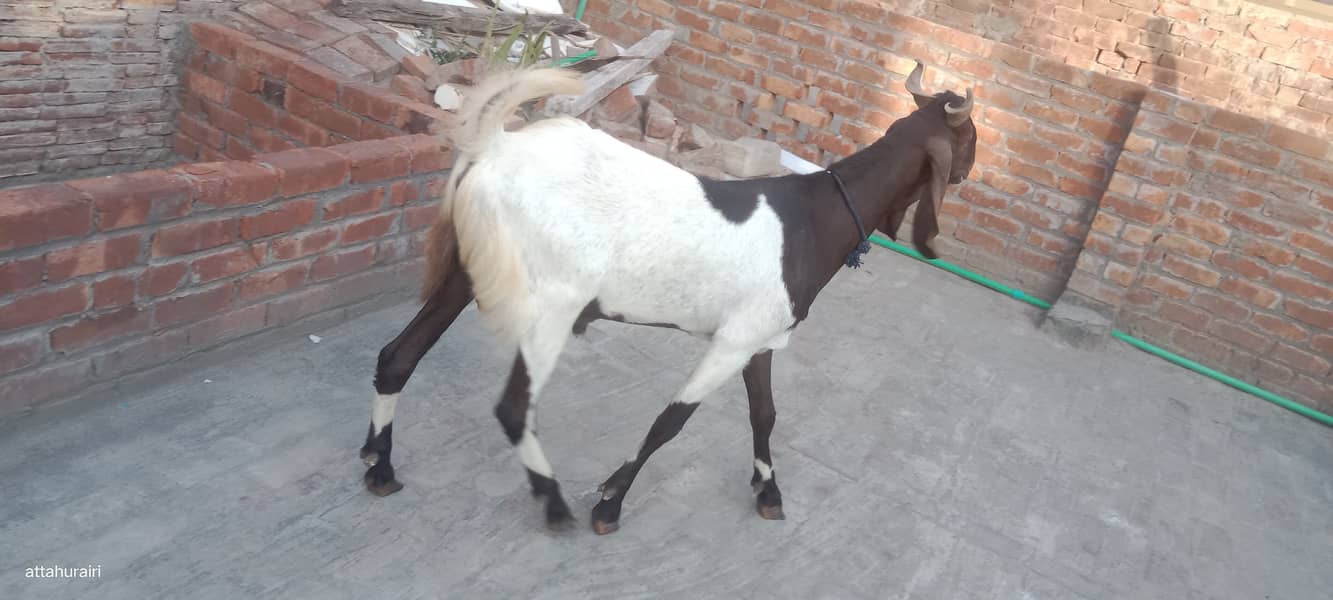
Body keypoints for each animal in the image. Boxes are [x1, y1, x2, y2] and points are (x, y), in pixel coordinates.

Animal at [359, 61, 978, 534]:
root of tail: (494, 146)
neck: (814, 219)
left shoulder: (758, 339)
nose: (969, 172)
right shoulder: (731, 344)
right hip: (553, 304)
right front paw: (610, 501)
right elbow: (670, 421)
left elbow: (764, 413)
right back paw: (554, 503)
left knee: (398, 356)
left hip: (467, 273)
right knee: (513, 407)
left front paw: (768, 491)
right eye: (969, 137)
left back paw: (379, 466)